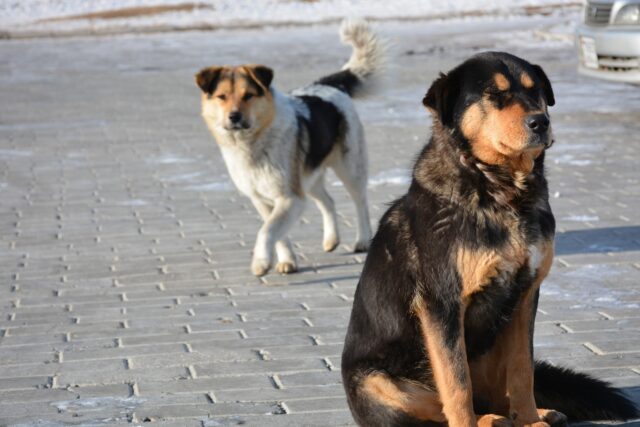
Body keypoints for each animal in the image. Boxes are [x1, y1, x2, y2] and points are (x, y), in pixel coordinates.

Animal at [198, 19, 382, 278]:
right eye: (222, 97)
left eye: (248, 96)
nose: (234, 117)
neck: (253, 144)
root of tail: (328, 85)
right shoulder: (263, 199)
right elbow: (277, 233)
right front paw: (286, 261)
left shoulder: (290, 197)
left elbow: (267, 230)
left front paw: (261, 262)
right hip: (309, 177)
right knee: (328, 201)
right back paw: (331, 240)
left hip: (349, 167)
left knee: (360, 201)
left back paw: (363, 240)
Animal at [342, 52, 636, 427]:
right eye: (495, 95)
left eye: (535, 91)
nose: (541, 122)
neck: (501, 192)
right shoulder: (442, 304)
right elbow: (456, 383)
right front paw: (470, 421)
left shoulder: (525, 296)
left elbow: (523, 370)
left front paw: (530, 420)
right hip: (381, 382)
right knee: (436, 407)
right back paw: (484, 419)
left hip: (495, 335)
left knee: (497, 392)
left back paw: (524, 413)